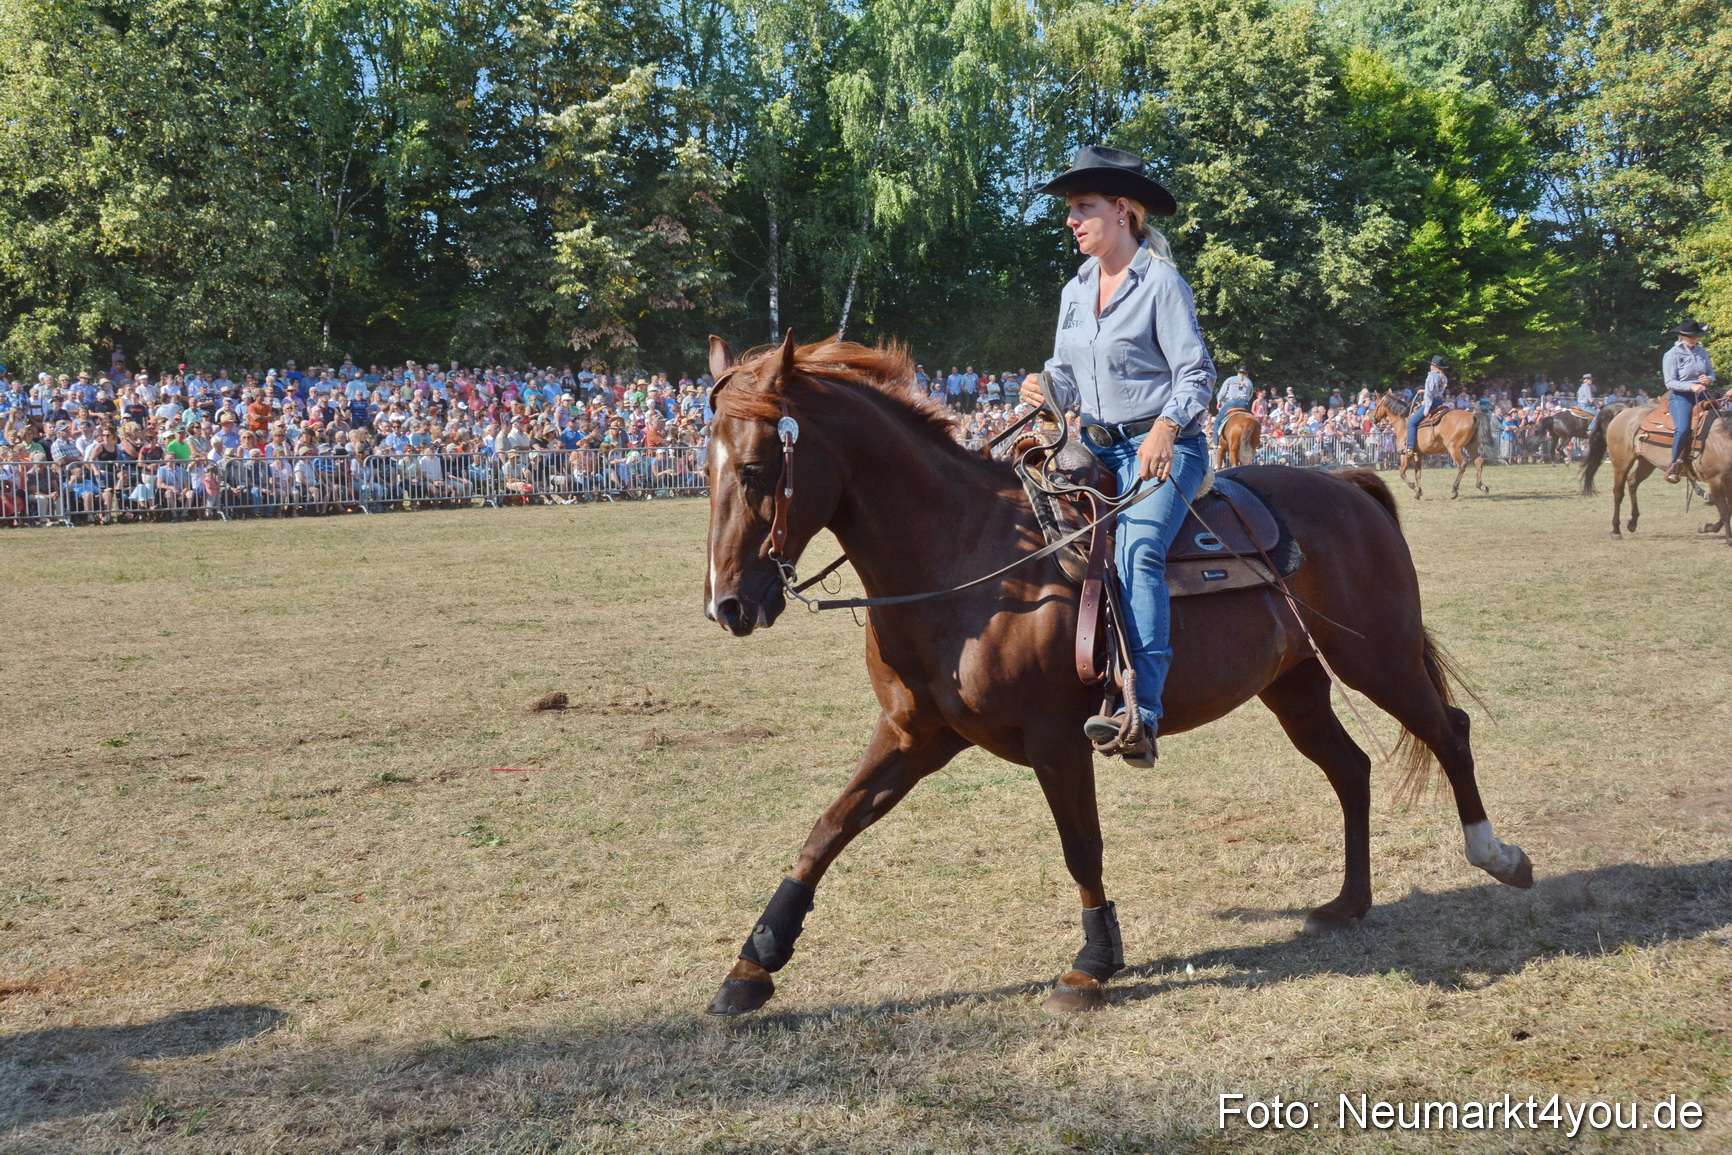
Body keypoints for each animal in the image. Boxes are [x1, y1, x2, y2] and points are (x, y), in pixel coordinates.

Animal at [700, 334, 1535, 1017]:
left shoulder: (1057, 738)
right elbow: (828, 828)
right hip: (1295, 686)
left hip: (1380, 659)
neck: (967, 556)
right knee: (1351, 767)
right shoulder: (914, 733)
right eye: (705, 468)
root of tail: (1352, 486)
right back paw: (1348, 901)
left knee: (1449, 730)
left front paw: (1093, 961)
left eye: (758, 467)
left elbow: (1082, 845)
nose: (728, 603)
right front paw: (753, 963)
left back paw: (1496, 856)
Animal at [1582, 401, 1732, 545]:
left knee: (1632, 482)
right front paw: (1728, 539)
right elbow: (1724, 511)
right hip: (1621, 464)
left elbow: (1728, 510)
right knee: (1618, 493)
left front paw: (1708, 527)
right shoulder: (1715, 480)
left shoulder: (1728, 481)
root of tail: (1624, 411)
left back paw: (1632, 523)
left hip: (1646, 463)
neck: (1721, 439)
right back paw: (1615, 530)